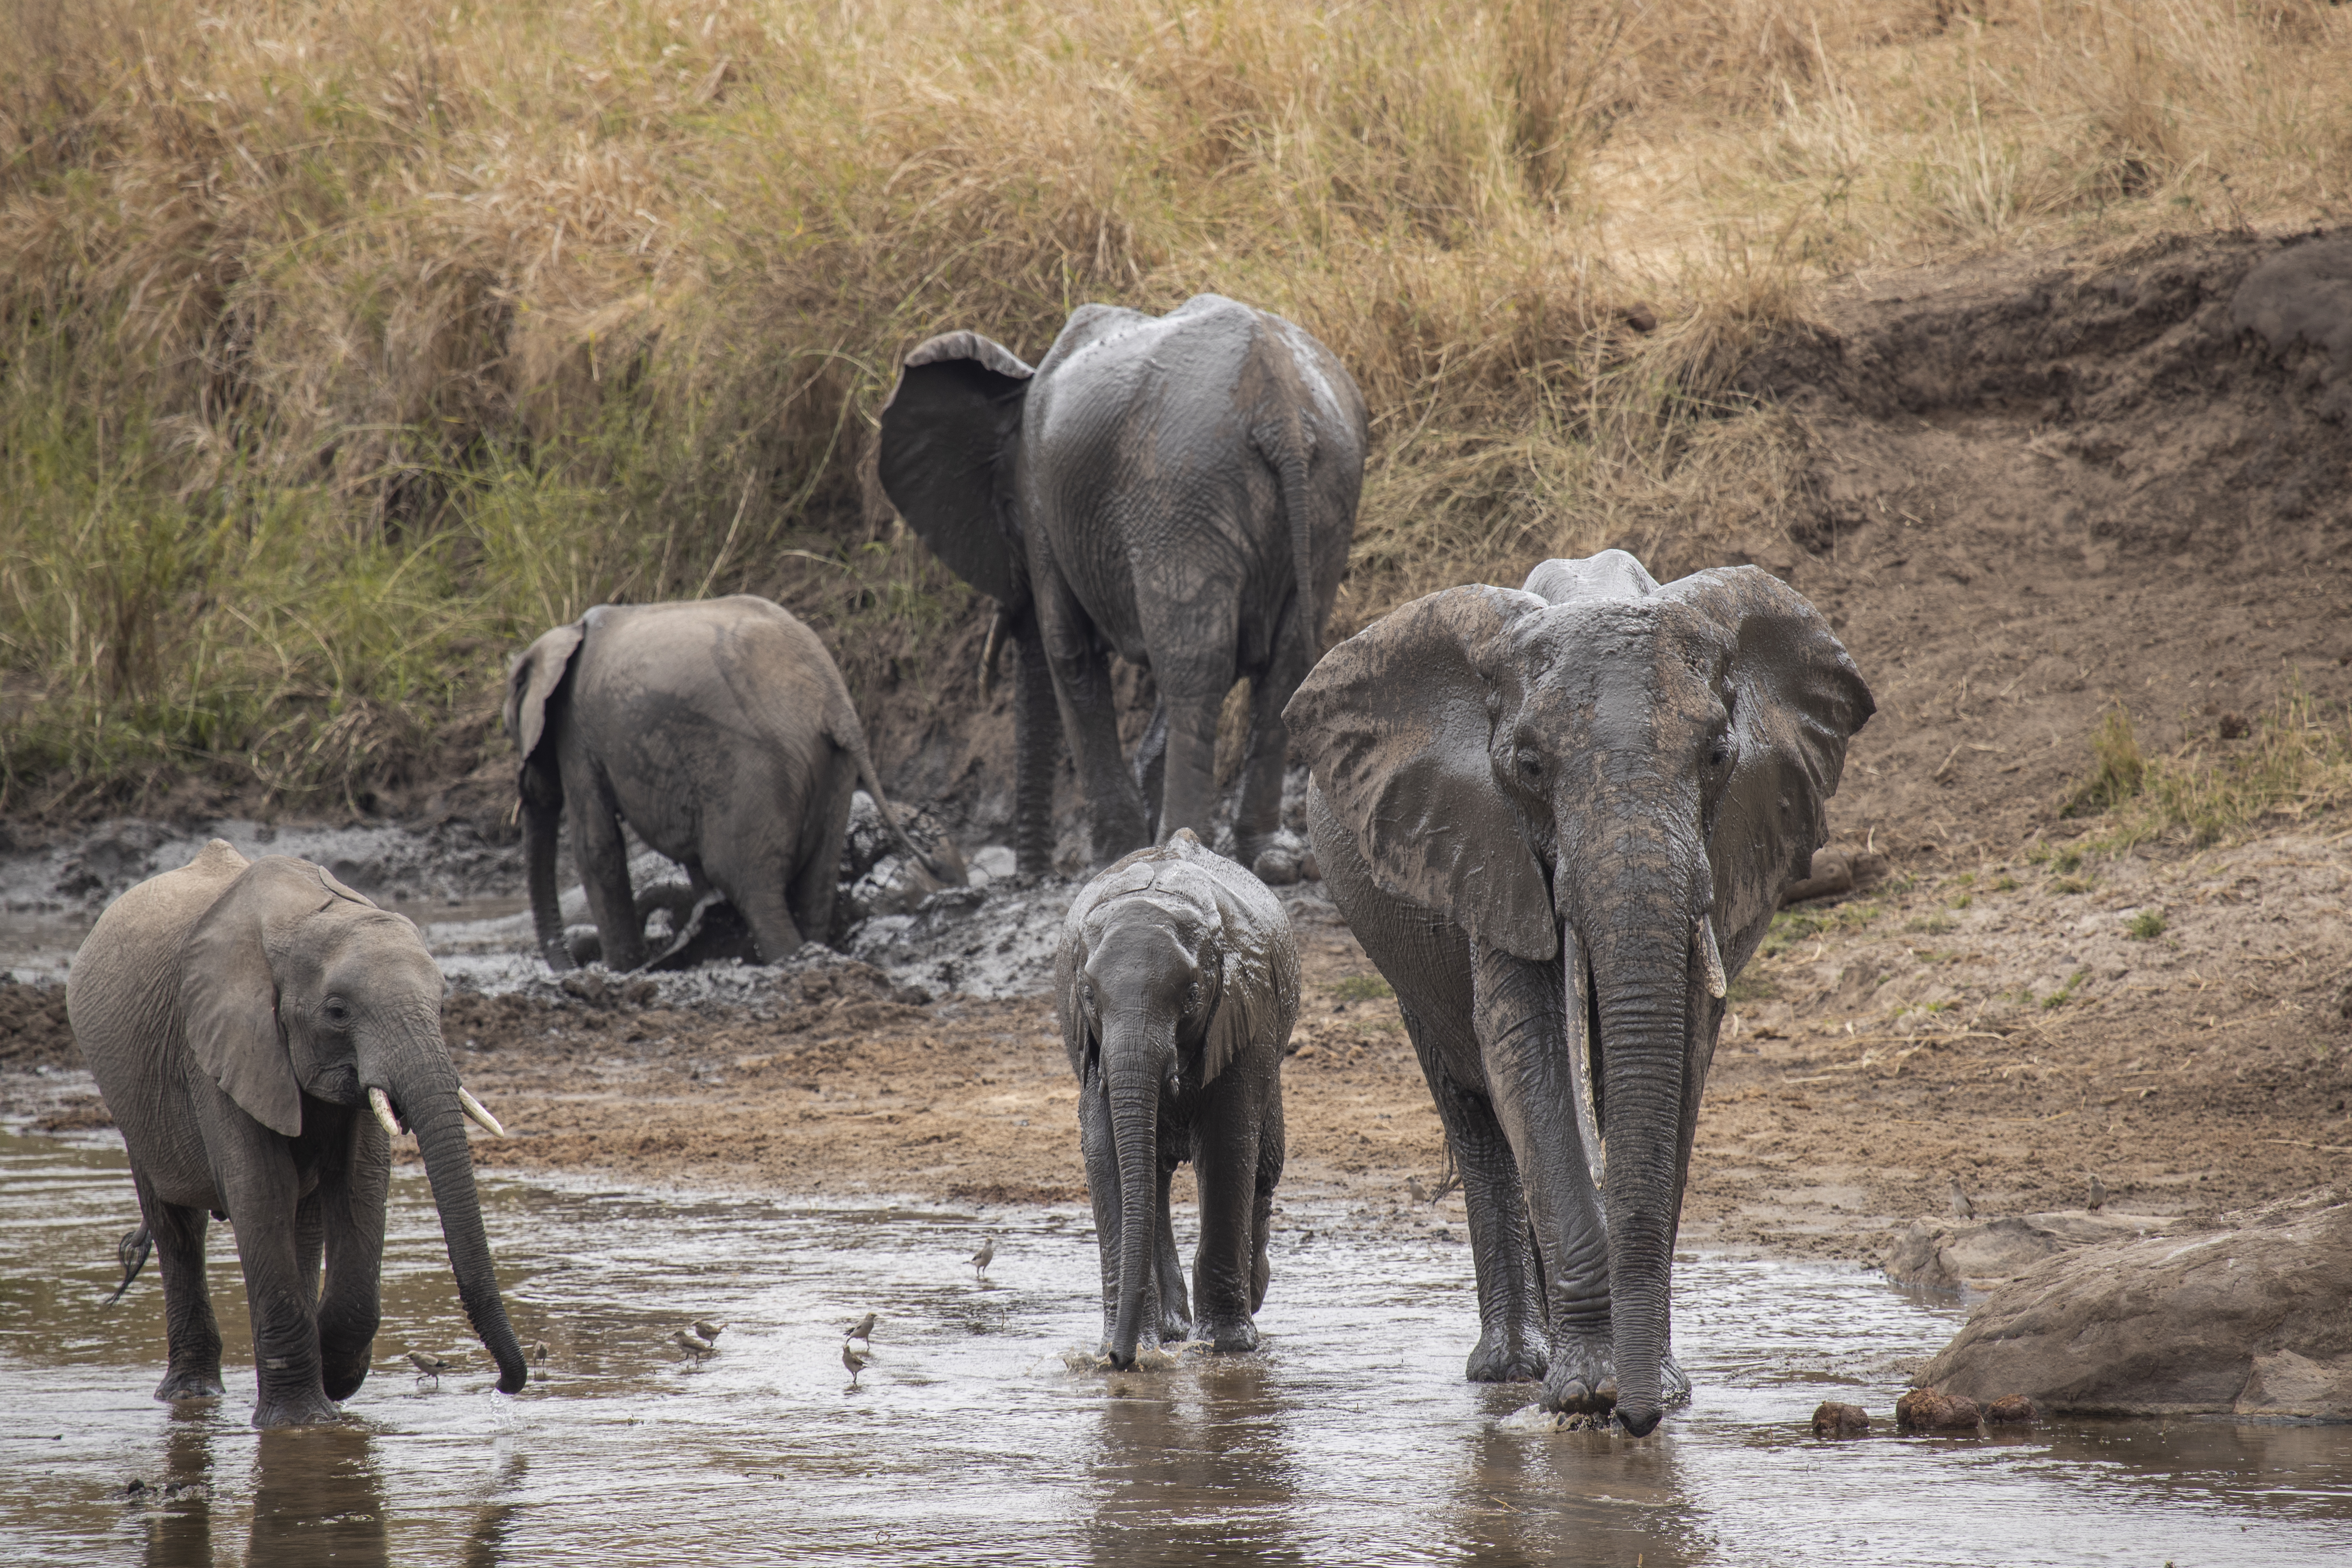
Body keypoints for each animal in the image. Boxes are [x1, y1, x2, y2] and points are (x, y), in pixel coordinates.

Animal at [65, 841, 527, 1427]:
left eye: (443, 1004)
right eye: (337, 1011)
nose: (503, 1385)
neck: (309, 918)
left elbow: (359, 1186)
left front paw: (334, 1379)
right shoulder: (217, 1045)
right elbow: (260, 1191)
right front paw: (301, 1423)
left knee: (301, 1224)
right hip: (134, 1106)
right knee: (179, 1227)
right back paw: (192, 1395)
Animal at [505, 594, 960, 973]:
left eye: (510, 731)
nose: (572, 966)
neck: (567, 632)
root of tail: (834, 700)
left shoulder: (576, 731)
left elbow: (597, 848)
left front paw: (621, 973)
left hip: (752, 769)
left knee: (746, 884)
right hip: (834, 768)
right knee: (815, 884)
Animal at [877, 293, 1369, 879]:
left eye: (1007, 516)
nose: (1031, 877)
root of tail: (1280, 408)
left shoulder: (1042, 507)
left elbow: (1069, 652)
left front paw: (1115, 855)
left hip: (1180, 491)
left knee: (1193, 666)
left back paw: (1182, 844)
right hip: (1326, 490)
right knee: (1284, 661)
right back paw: (1271, 859)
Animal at [1056, 828, 1299, 1369]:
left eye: (1190, 994)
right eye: (1087, 994)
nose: (1120, 1361)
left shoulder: (1245, 1012)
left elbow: (1229, 1145)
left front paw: (1227, 1348)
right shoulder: (1091, 1048)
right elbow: (1105, 1152)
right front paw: (1126, 1350)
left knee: (1264, 1166)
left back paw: (1248, 1301)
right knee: (1154, 1175)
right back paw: (1169, 1332)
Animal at [1283, 550, 1874, 1436]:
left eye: (1716, 757)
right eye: (1529, 766)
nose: (1638, 1422)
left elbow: (1679, 1053)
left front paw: (1655, 1389)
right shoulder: (1482, 843)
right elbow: (1525, 1049)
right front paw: (1587, 1394)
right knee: (1475, 1112)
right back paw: (1510, 1369)